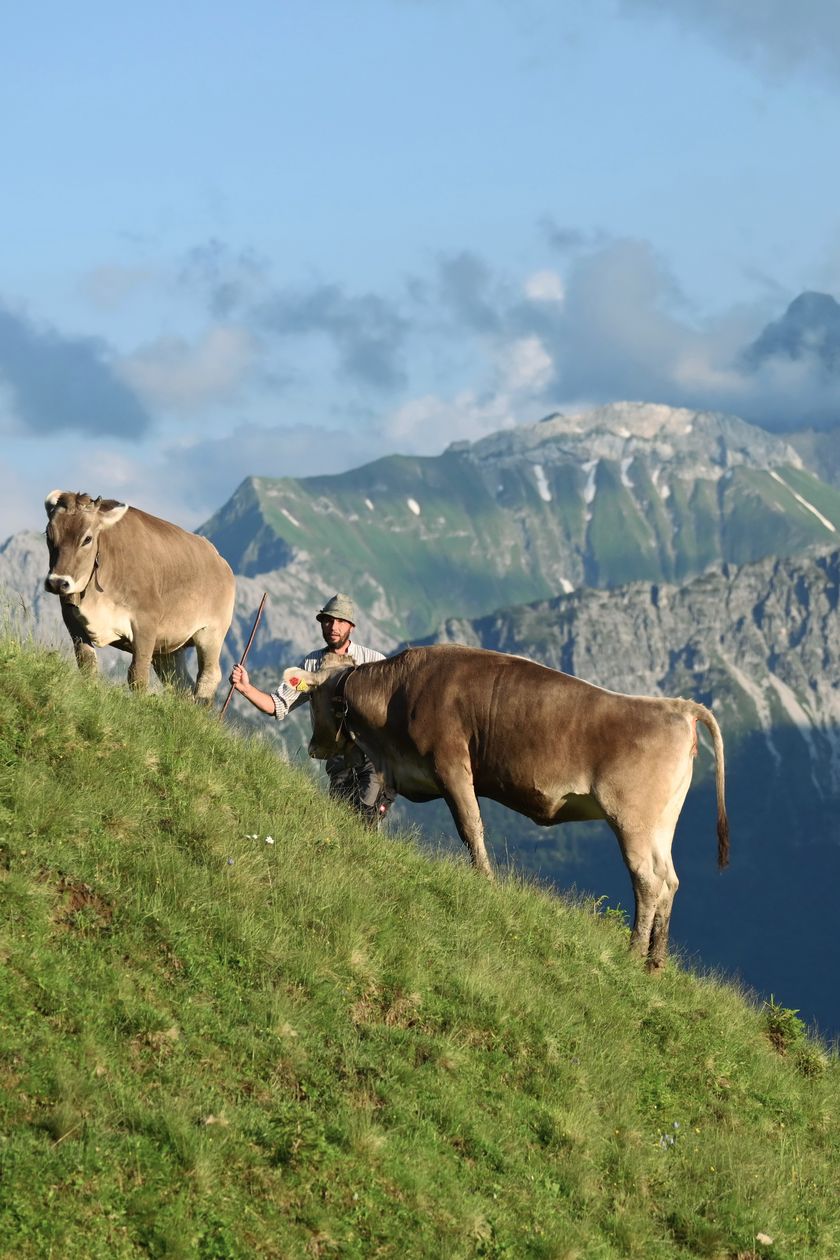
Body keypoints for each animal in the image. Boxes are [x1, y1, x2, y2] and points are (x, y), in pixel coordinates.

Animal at [44, 490, 236, 703]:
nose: (57, 582)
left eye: (87, 538)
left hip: (211, 632)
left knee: (208, 677)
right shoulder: (71, 618)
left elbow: (137, 675)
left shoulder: (146, 622)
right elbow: (87, 664)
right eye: (48, 535)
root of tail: (219, 560)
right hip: (168, 647)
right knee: (181, 685)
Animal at [283, 644, 729, 971]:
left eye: (310, 697)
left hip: (633, 820)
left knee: (647, 881)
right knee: (669, 880)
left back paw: (634, 953)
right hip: (660, 826)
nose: (314, 747)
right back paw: (655, 962)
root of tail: (676, 706)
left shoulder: (451, 763)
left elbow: (470, 826)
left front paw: (486, 881)